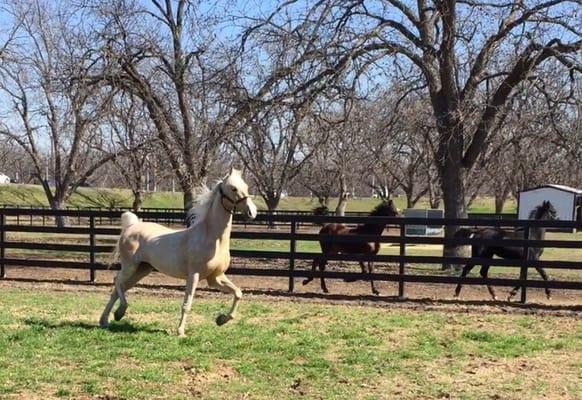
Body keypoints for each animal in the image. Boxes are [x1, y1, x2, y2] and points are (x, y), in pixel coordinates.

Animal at [100, 167, 258, 336]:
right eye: (233, 188)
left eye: (246, 186)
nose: (252, 212)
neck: (212, 238)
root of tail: (131, 226)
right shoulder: (194, 275)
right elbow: (187, 304)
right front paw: (181, 332)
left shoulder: (215, 277)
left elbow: (238, 293)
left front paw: (221, 320)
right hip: (130, 266)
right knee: (117, 281)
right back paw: (119, 312)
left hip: (142, 269)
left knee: (118, 289)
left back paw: (106, 320)